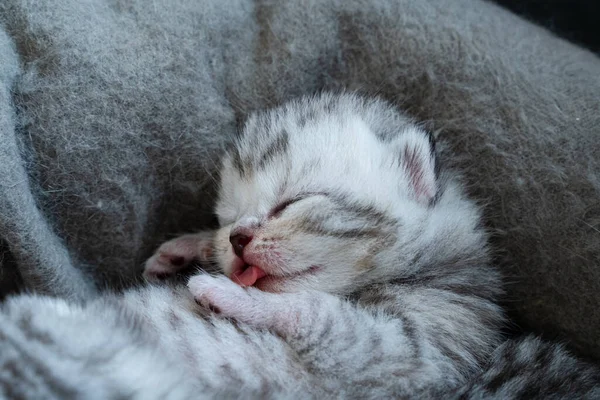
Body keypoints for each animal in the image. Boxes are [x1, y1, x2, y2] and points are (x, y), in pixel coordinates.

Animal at [2, 93, 596, 396]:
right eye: (226, 218)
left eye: (292, 203)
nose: (237, 238)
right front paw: (185, 250)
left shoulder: (426, 352)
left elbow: (321, 315)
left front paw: (229, 294)